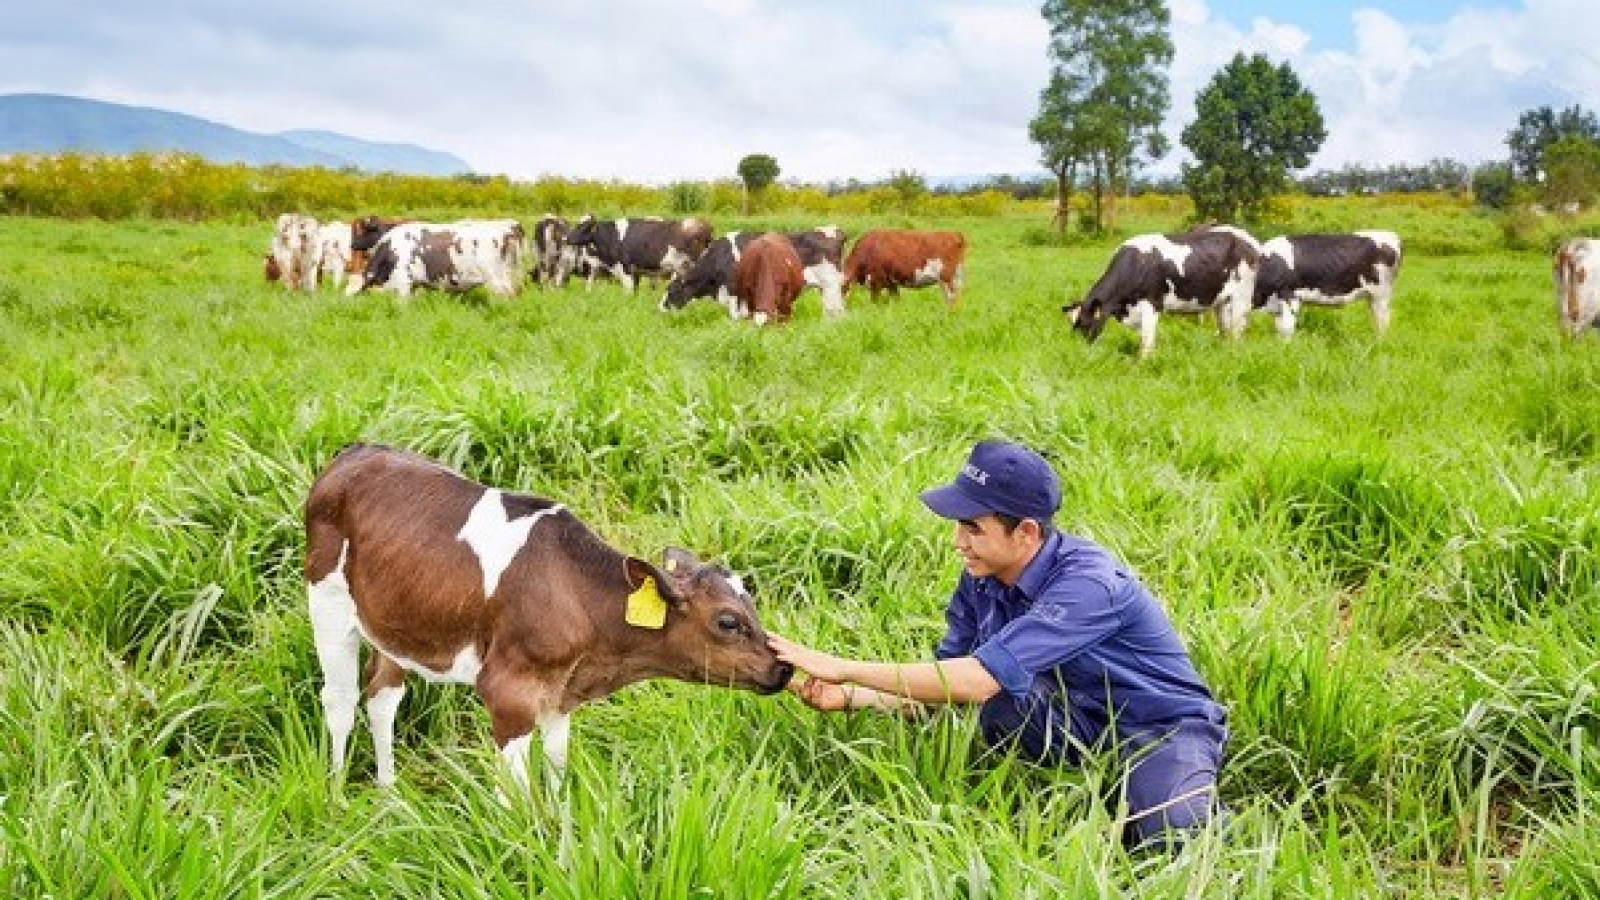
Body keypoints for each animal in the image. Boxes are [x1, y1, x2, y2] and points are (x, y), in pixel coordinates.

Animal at [304, 443, 793, 789]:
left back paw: (389, 795)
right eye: (728, 621)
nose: (783, 668)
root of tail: (356, 451)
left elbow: (558, 768)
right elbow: (516, 793)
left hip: (398, 618)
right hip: (327, 601)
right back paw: (337, 796)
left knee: (382, 697)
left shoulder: (561, 693)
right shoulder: (508, 692)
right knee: (340, 700)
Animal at [557, 215, 714, 293]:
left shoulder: (625, 268)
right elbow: (635, 290)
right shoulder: (635, 271)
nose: (565, 238)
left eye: (582, 227)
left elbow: (628, 290)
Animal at [659, 225, 847, 318]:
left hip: (831, 285)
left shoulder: (734, 291)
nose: (660, 309)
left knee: (836, 311)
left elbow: (736, 316)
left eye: (671, 290)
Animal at [1063, 226, 1261, 358]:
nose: (1079, 353)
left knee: (1237, 331)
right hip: (1222, 302)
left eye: (1085, 324)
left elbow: (1146, 342)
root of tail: (1247, 238)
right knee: (1225, 330)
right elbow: (1144, 339)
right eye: (1074, 325)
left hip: (1241, 298)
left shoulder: (1152, 305)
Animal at [1253, 231, 1402, 338]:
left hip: (1381, 295)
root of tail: (1391, 235)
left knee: (1383, 321)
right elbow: (1280, 328)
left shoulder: (1289, 296)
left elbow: (1286, 328)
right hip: (1373, 297)